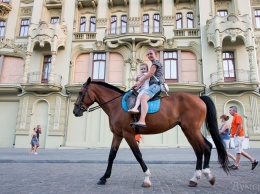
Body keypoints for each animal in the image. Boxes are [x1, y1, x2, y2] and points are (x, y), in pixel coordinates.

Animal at [72, 77, 228, 188]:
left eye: (81, 93)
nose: (75, 111)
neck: (116, 106)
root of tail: (198, 98)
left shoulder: (128, 134)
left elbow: (138, 155)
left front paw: (147, 178)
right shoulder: (118, 135)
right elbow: (111, 155)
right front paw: (104, 177)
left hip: (192, 129)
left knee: (207, 147)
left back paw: (208, 175)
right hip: (188, 130)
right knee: (198, 150)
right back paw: (194, 179)